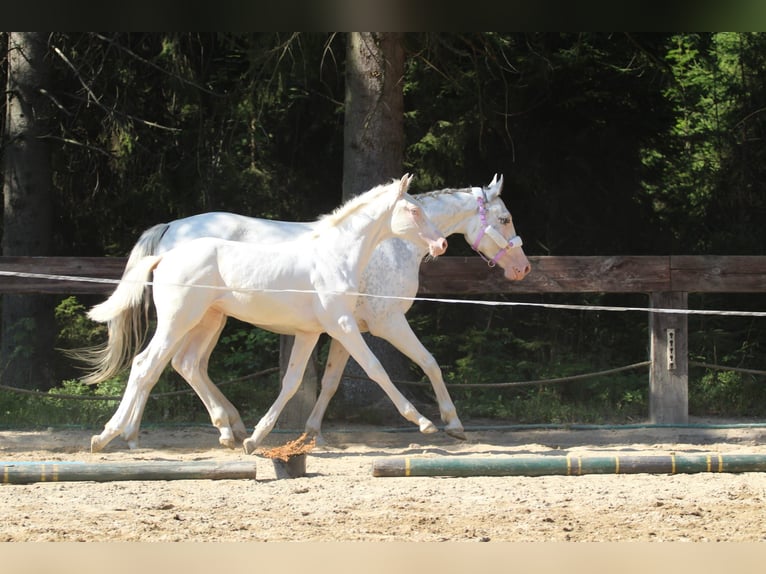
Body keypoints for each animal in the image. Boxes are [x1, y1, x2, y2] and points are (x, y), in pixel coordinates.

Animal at [81, 173, 532, 452]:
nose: (522, 268)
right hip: (188, 319)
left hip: (210, 319)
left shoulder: (339, 328)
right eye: (505, 218)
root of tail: (171, 230)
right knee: (154, 364)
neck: (384, 247)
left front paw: (310, 431)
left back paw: (206, 429)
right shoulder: (384, 323)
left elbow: (327, 381)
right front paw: (447, 424)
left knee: (182, 364)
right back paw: (120, 434)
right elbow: (423, 364)